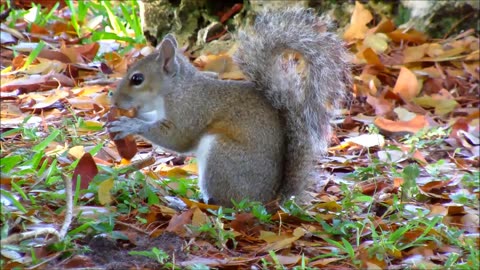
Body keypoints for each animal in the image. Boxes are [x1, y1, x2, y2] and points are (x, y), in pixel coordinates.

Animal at [108, 8, 348, 207]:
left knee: (225, 204)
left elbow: (176, 138)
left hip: (222, 156)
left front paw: (130, 124)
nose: (114, 102)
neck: (176, 89)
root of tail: (269, 200)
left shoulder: (190, 110)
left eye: (137, 79)